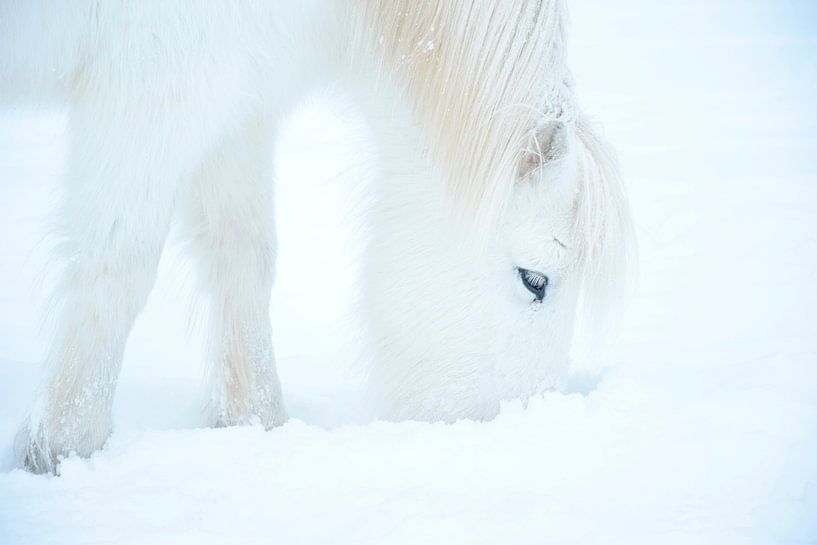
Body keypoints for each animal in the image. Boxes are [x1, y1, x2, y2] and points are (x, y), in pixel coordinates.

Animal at [0, 1, 636, 472]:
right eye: (535, 280)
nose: (508, 433)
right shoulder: (153, 90)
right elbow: (117, 264)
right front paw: (65, 446)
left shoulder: (239, 104)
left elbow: (244, 253)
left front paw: (255, 424)